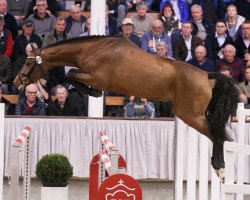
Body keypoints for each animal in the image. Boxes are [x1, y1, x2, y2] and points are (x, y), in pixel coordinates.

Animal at [13, 35, 238, 180]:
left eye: (27, 63)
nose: (17, 82)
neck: (93, 49)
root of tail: (206, 76)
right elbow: (72, 75)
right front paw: (92, 92)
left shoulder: (97, 77)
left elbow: (71, 74)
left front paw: (92, 92)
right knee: (219, 135)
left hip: (190, 115)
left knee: (218, 135)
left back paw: (220, 168)